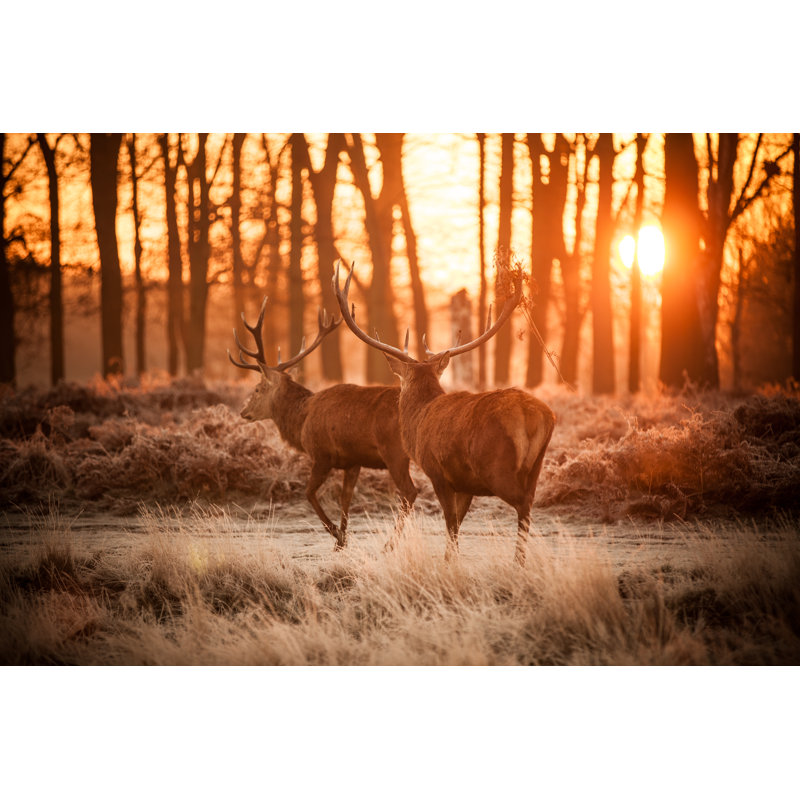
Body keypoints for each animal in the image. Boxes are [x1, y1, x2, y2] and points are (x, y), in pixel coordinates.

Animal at [228, 297, 418, 551]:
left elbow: (309, 493)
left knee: (409, 492)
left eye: (257, 389)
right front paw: (342, 539)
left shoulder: (321, 454)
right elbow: (345, 498)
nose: (243, 412)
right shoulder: (353, 461)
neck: (301, 421)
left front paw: (336, 534)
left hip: (395, 453)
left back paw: (390, 544)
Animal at [333, 260, 555, 565]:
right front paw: (450, 559)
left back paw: (517, 563)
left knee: (522, 504)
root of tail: (533, 415)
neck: (418, 419)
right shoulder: (465, 483)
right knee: (529, 502)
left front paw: (448, 562)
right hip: (537, 465)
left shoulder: (437, 471)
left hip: (495, 466)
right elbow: (458, 522)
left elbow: (450, 522)